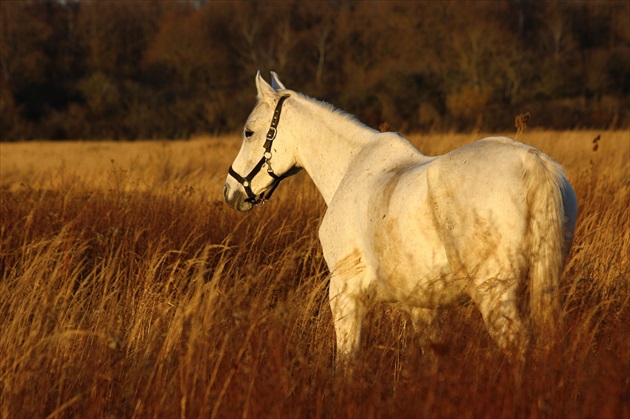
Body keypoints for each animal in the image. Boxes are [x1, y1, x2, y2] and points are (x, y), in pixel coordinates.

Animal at [225, 72, 580, 360]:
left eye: (249, 132)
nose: (231, 191)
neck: (350, 168)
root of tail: (532, 161)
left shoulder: (344, 292)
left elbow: (346, 360)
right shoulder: (421, 305)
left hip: (494, 292)